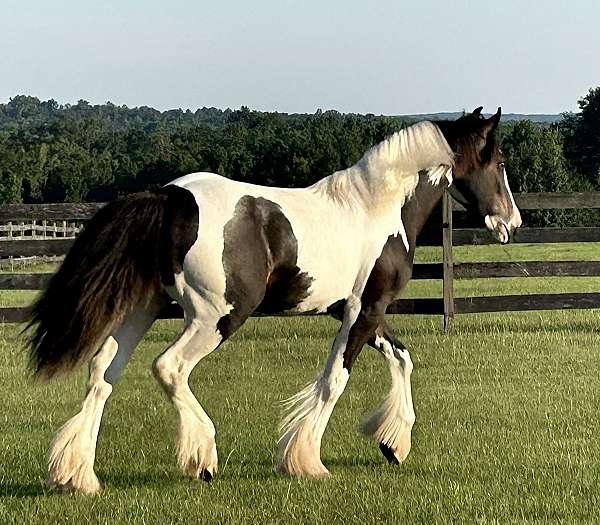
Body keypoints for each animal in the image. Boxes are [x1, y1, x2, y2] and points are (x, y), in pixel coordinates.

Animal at [24, 105, 520, 492]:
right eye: (497, 159)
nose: (510, 223)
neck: (378, 209)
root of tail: (169, 197)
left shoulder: (359, 310)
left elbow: (401, 358)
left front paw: (392, 444)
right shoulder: (364, 310)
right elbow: (334, 380)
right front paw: (305, 461)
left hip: (144, 310)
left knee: (102, 372)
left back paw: (77, 475)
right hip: (216, 316)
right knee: (168, 367)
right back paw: (202, 458)